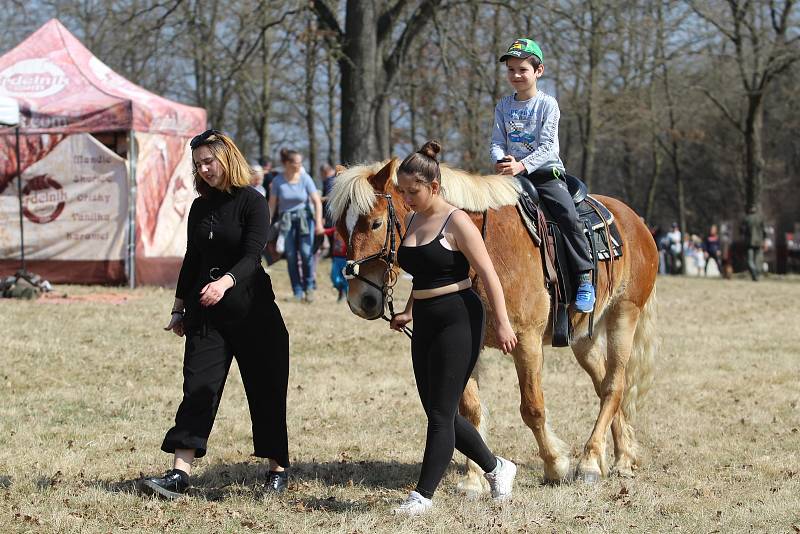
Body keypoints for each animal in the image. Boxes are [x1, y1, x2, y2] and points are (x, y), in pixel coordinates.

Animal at [328, 158, 660, 494]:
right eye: (340, 229)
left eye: (375, 223)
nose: (361, 299)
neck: (480, 247)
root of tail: (635, 221)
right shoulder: (466, 344)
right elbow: (470, 410)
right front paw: (475, 481)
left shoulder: (526, 341)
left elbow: (532, 408)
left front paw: (555, 465)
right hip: (584, 338)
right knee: (605, 385)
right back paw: (621, 457)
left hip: (624, 315)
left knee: (613, 386)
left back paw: (591, 462)